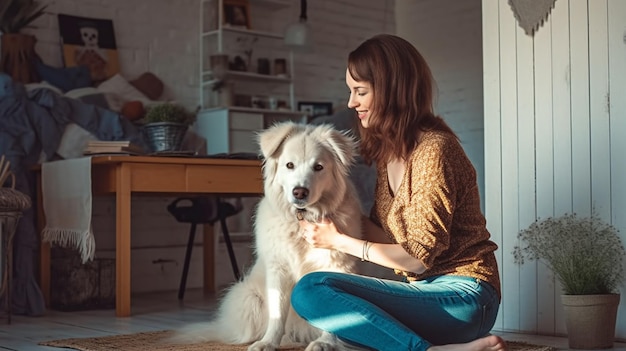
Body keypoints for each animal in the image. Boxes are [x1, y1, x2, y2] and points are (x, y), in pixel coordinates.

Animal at [173, 121, 364, 351]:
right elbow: (277, 314)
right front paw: (268, 343)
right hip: (250, 300)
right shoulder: (278, 271)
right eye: (289, 165)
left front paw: (326, 342)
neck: (301, 219)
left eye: (318, 167)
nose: (300, 192)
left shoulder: (335, 266)